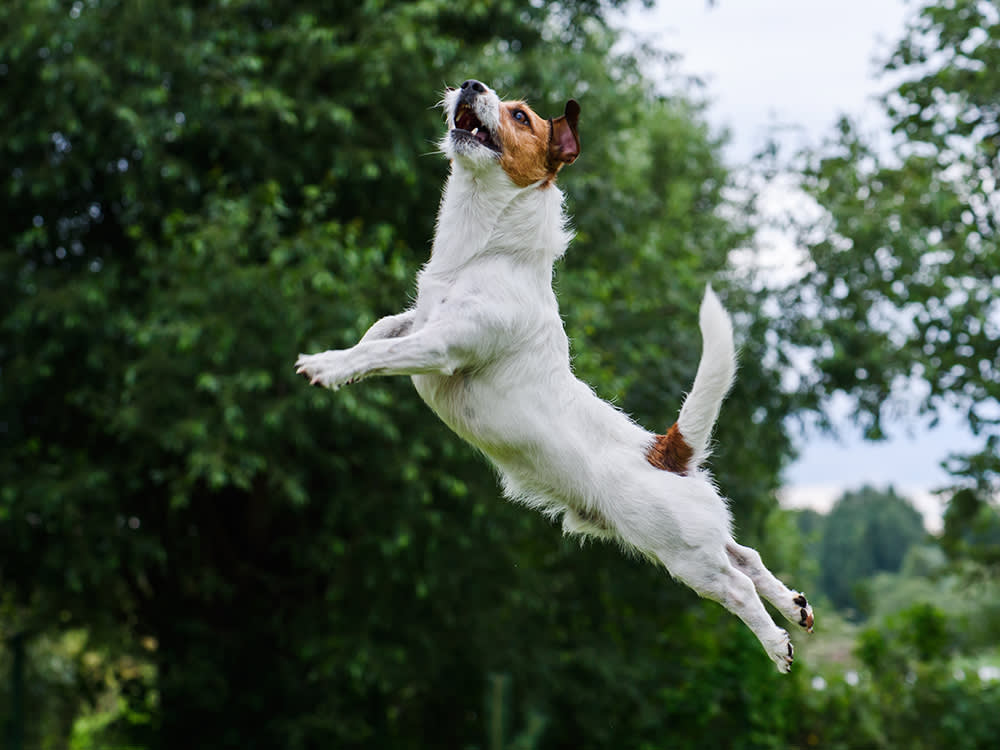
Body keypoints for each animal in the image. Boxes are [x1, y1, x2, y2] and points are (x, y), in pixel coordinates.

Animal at [296, 79, 812, 672]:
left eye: (520, 116)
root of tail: (665, 452)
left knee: (737, 587)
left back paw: (775, 642)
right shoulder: (418, 319)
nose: (471, 85)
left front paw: (329, 365)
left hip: (682, 553)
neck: (485, 253)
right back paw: (793, 605)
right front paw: (348, 365)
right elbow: (380, 332)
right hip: (698, 537)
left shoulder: (443, 344)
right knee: (745, 555)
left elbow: (380, 352)